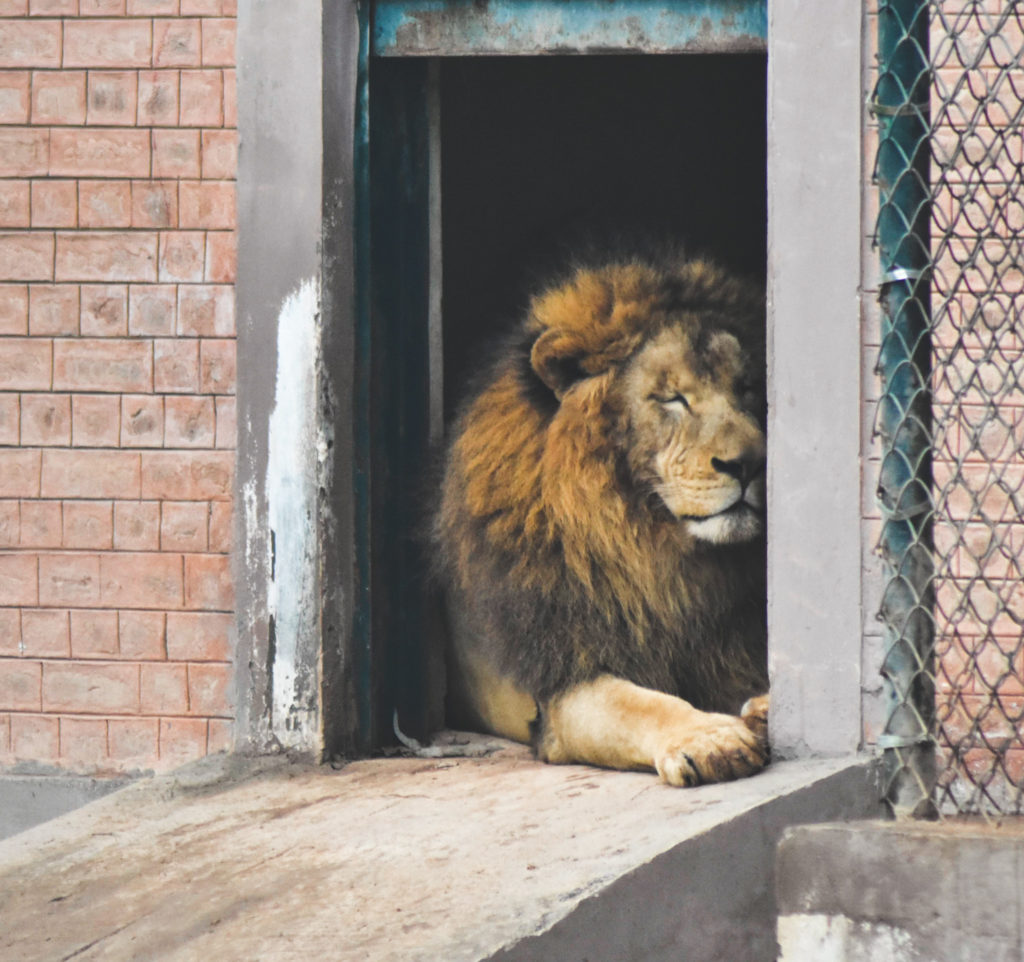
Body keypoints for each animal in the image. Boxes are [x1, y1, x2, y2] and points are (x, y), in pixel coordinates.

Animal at [432, 252, 770, 786]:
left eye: (748, 388)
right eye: (672, 398)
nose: (752, 464)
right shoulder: (561, 684)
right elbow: (636, 704)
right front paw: (710, 739)